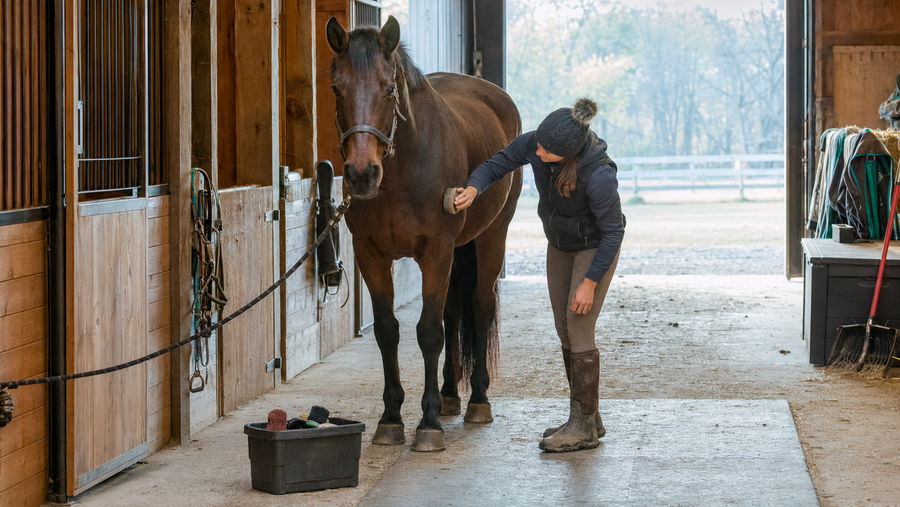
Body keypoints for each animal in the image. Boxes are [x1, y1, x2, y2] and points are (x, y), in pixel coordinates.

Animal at [325, 15, 522, 452]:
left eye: (389, 88)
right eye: (336, 88)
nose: (362, 174)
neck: (401, 171)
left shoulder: (436, 250)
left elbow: (429, 333)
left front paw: (427, 423)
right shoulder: (370, 255)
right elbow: (388, 331)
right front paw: (391, 418)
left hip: (490, 237)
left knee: (479, 307)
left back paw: (477, 400)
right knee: (451, 312)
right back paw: (450, 395)